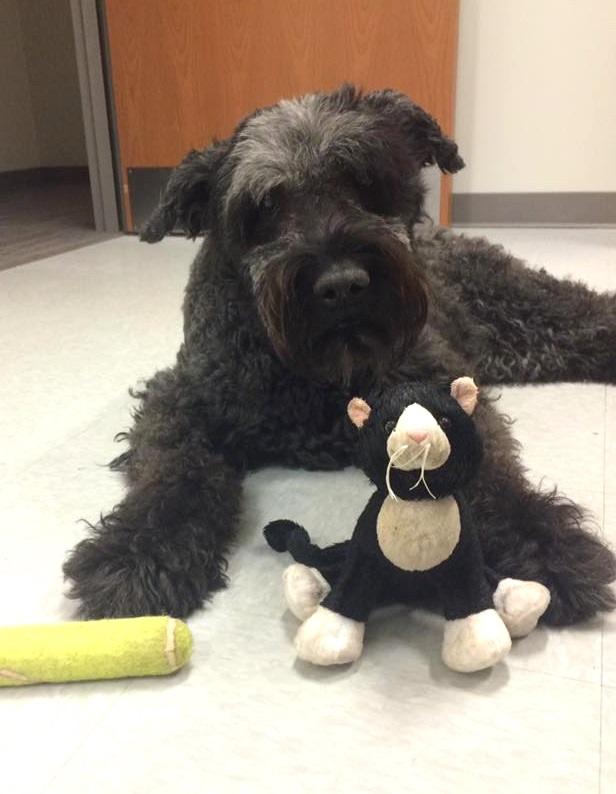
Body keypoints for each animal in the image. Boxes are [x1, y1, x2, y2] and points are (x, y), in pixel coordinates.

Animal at [63, 83, 616, 620]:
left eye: (365, 181)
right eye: (265, 206)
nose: (343, 284)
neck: (313, 377)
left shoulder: (444, 392)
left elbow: (489, 470)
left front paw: (539, 540)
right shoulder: (180, 401)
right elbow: (176, 473)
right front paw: (140, 551)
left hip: (530, 315)